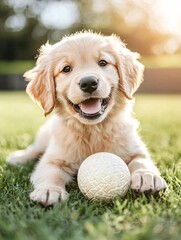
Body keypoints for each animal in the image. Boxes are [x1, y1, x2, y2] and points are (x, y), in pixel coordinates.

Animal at [7, 31, 168, 205]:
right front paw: (49, 190)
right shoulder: (52, 158)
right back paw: (18, 158)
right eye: (66, 69)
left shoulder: (135, 148)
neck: (93, 129)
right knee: (34, 149)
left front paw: (147, 176)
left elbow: (141, 160)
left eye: (103, 62)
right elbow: (51, 172)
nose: (89, 82)